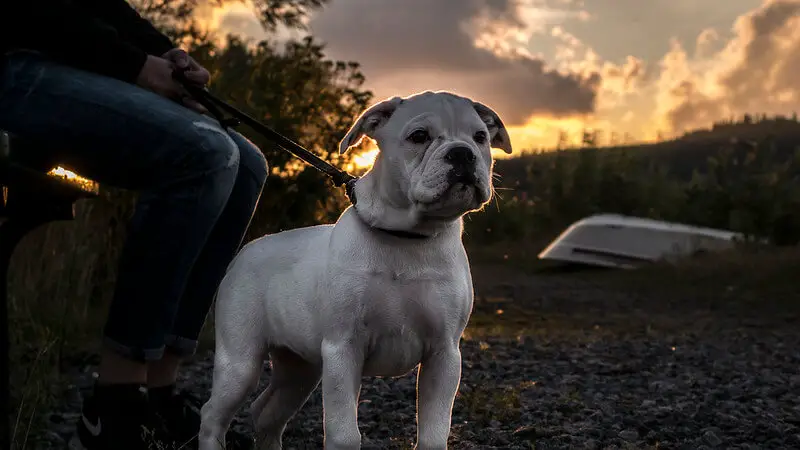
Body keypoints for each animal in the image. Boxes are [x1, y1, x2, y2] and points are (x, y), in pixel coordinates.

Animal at [200, 91, 512, 450]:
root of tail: (246, 249)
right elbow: (344, 433)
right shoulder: (342, 348)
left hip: (300, 370)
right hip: (240, 362)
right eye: (419, 136)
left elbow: (434, 433)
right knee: (213, 415)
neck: (407, 238)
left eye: (480, 137)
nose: (462, 153)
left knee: (267, 412)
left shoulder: (444, 354)